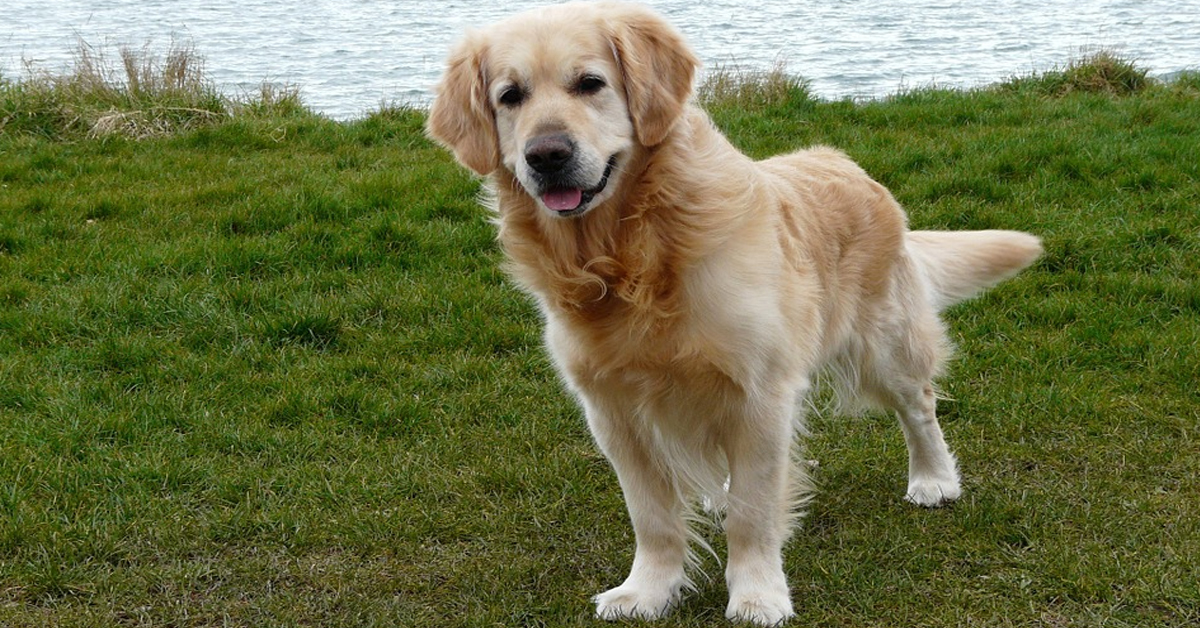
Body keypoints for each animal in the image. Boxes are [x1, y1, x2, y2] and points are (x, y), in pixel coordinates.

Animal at [424, 3, 1041, 624]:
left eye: (590, 83)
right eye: (510, 96)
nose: (547, 155)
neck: (633, 255)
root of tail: (847, 164)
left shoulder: (760, 395)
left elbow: (753, 510)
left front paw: (757, 594)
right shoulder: (612, 410)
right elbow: (651, 515)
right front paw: (647, 590)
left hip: (885, 345)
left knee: (920, 407)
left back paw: (934, 478)